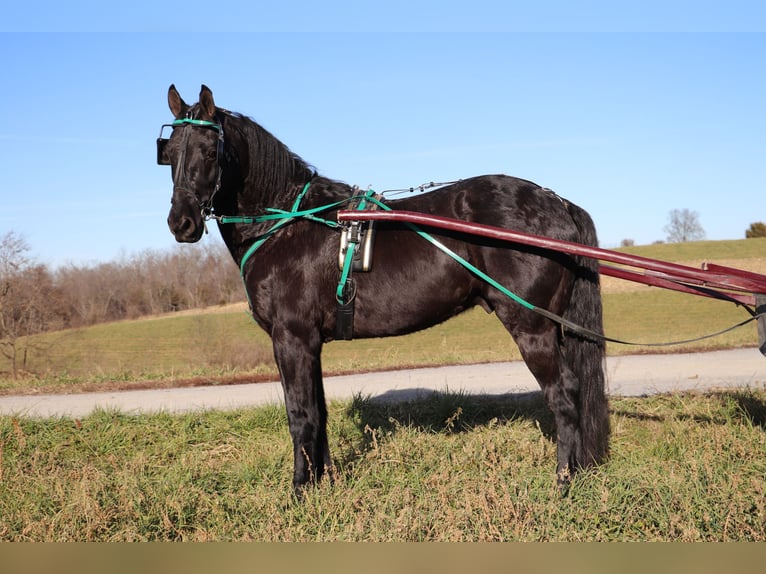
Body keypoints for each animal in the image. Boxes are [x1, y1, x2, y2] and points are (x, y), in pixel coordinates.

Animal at [159, 84, 608, 496]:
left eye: (210, 152)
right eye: (171, 151)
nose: (181, 223)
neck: (286, 224)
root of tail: (556, 202)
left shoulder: (291, 338)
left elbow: (299, 414)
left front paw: (300, 490)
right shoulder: (310, 343)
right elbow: (319, 413)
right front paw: (326, 482)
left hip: (532, 327)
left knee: (564, 394)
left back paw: (563, 481)